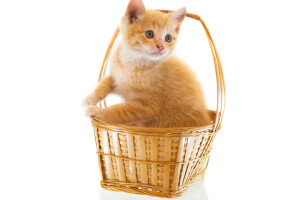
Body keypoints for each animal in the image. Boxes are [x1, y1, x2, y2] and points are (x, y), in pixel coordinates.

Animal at [83, 0, 212, 128]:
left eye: (168, 38)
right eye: (149, 34)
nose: (161, 47)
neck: (132, 62)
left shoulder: (146, 107)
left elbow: (119, 111)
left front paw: (97, 111)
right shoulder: (117, 76)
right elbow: (106, 82)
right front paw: (91, 98)